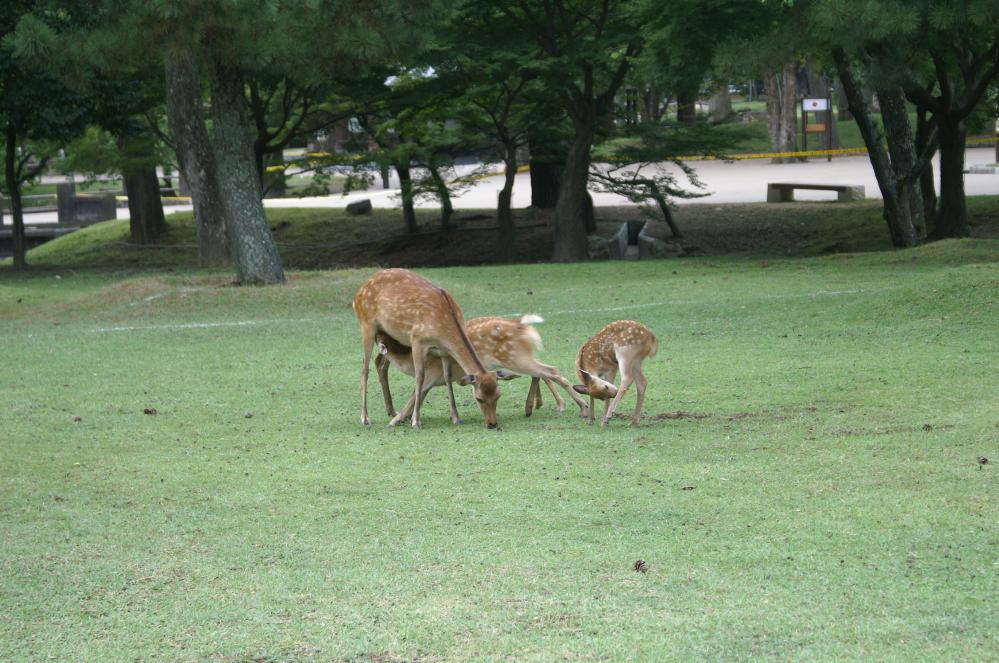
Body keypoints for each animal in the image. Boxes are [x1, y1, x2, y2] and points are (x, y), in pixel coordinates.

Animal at [352, 268, 503, 429]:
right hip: (366, 325)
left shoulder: (444, 351)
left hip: (388, 333)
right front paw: (416, 421)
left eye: (499, 395)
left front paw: (456, 417)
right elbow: (420, 377)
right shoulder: (418, 340)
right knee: (365, 369)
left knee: (380, 362)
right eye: (479, 398)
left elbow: (447, 377)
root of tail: (358, 293)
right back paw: (365, 418)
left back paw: (392, 410)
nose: (492, 424)